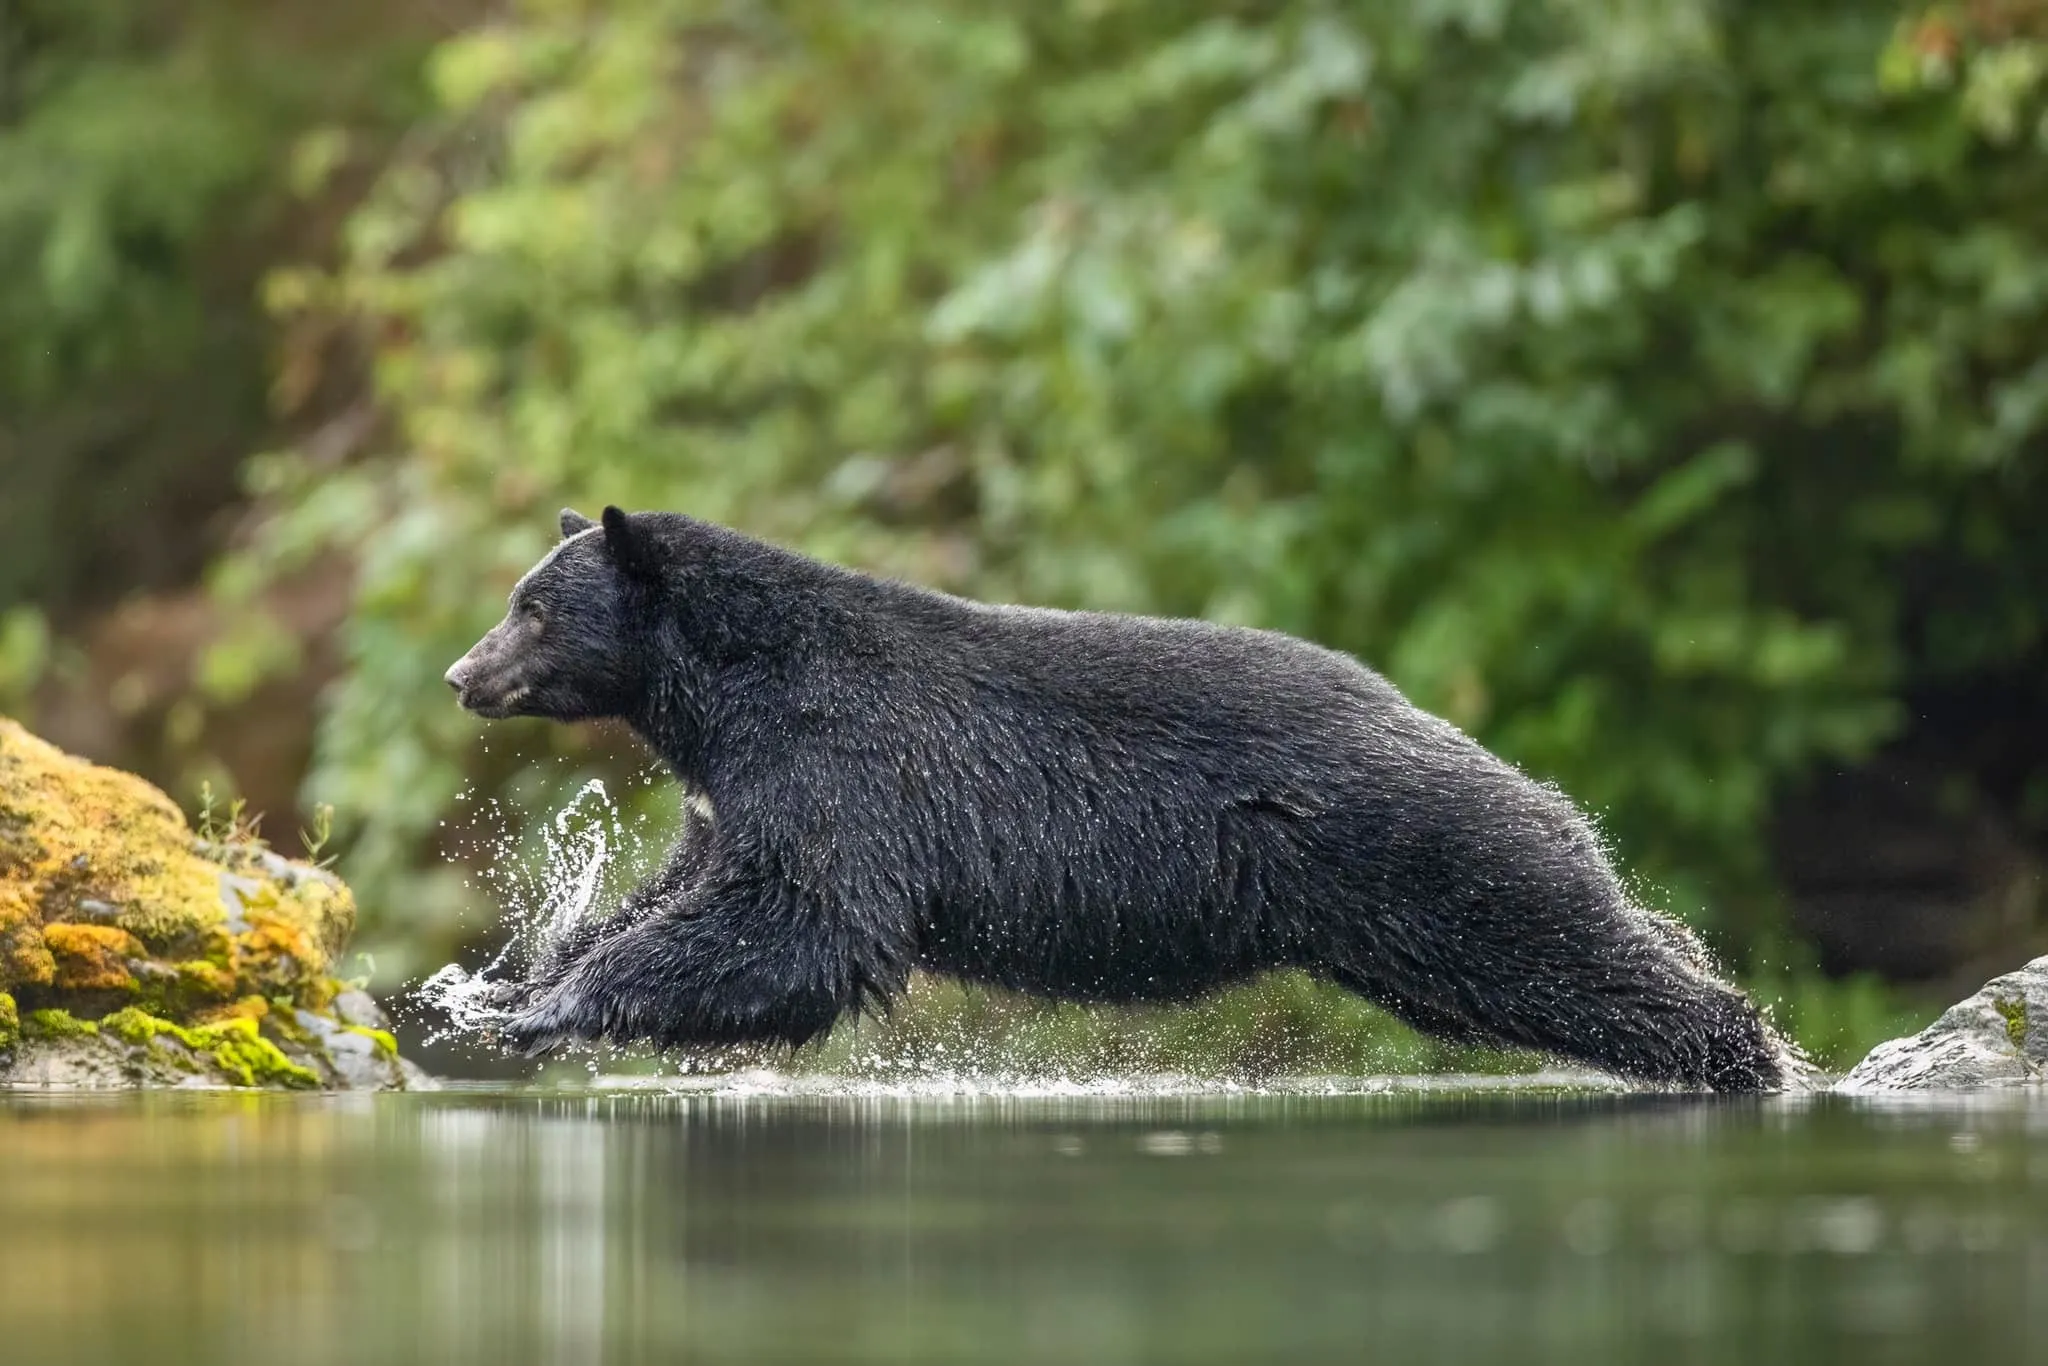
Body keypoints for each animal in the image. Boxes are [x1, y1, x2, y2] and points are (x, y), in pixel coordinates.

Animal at [442, 505, 1794, 1091]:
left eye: (531, 607)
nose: (462, 674)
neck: (724, 696)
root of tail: (1454, 732)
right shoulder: (741, 793)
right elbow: (694, 888)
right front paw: (512, 978)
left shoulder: (845, 763)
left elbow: (805, 921)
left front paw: (551, 1007)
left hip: (1421, 850)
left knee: (1559, 943)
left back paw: (1748, 1047)